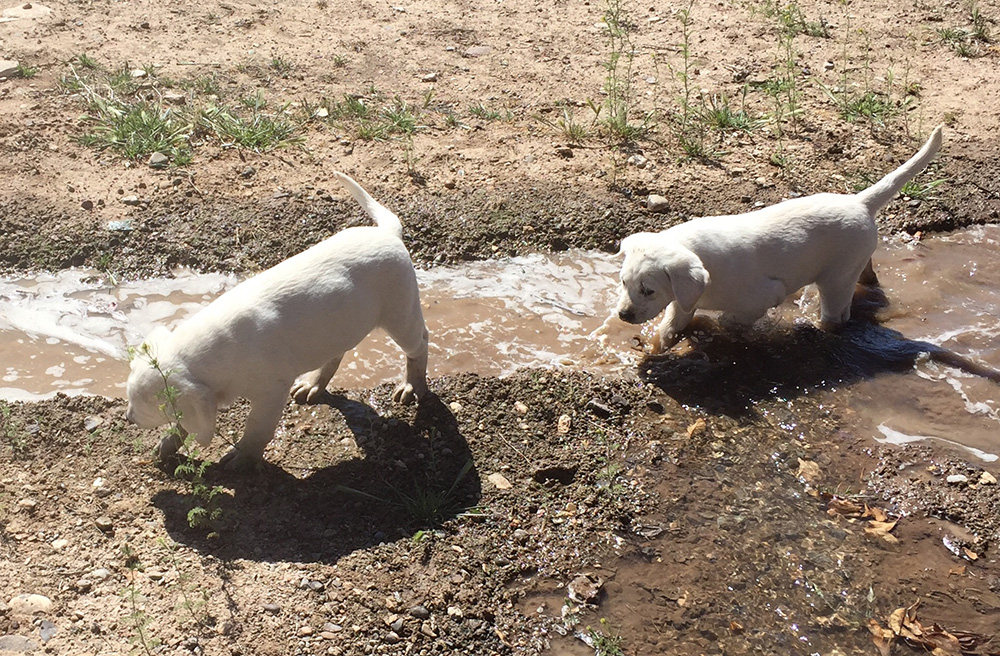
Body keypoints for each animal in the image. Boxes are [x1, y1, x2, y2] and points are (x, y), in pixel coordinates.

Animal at [123, 172, 428, 468]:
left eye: (148, 406)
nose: (128, 418)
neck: (215, 353)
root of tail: (388, 234)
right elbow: (185, 424)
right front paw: (165, 447)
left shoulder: (271, 390)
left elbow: (256, 427)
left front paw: (238, 459)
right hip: (340, 323)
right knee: (336, 353)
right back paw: (310, 386)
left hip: (401, 310)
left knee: (420, 342)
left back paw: (411, 388)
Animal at [616, 126, 944, 352]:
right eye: (623, 283)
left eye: (648, 290)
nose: (622, 315)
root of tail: (859, 201)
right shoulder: (684, 298)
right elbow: (674, 320)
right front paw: (662, 344)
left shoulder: (762, 296)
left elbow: (727, 320)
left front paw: (715, 328)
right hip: (855, 262)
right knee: (868, 276)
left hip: (835, 281)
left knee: (837, 316)